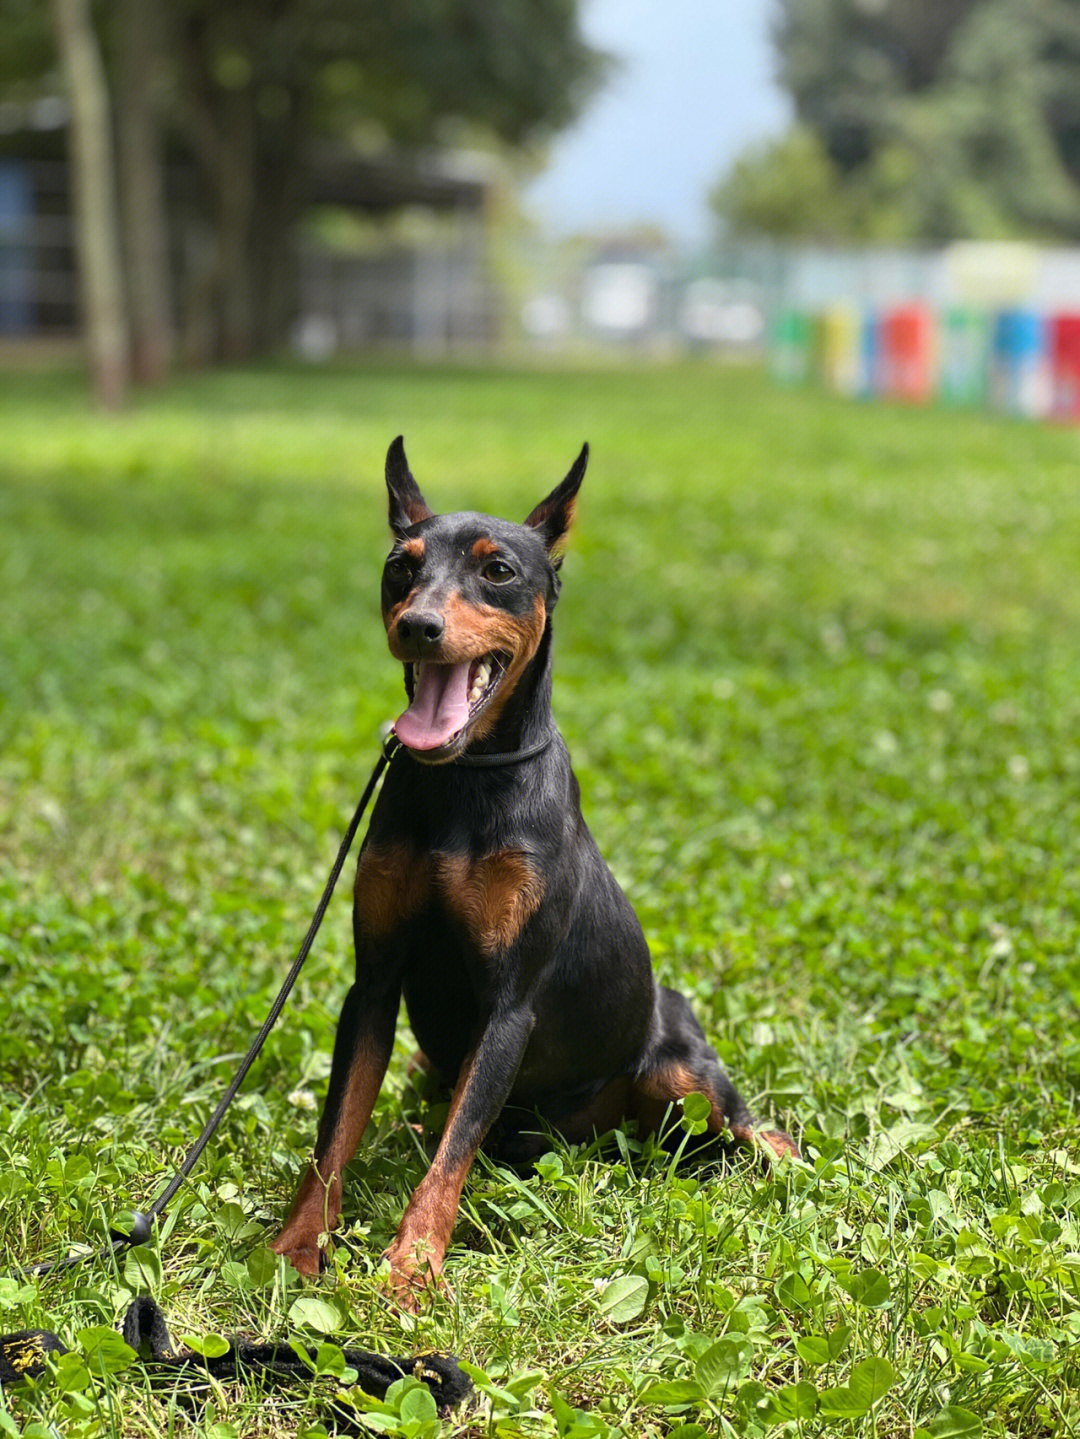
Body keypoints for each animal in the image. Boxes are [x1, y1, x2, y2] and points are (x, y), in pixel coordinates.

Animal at [270, 437, 799, 1306]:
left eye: (498, 571)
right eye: (400, 567)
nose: (418, 625)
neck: (461, 781)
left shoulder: (509, 1005)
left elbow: (451, 1156)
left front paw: (411, 1266)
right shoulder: (372, 983)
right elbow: (335, 1128)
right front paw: (298, 1244)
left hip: (682, 1074)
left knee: (746, 1122)